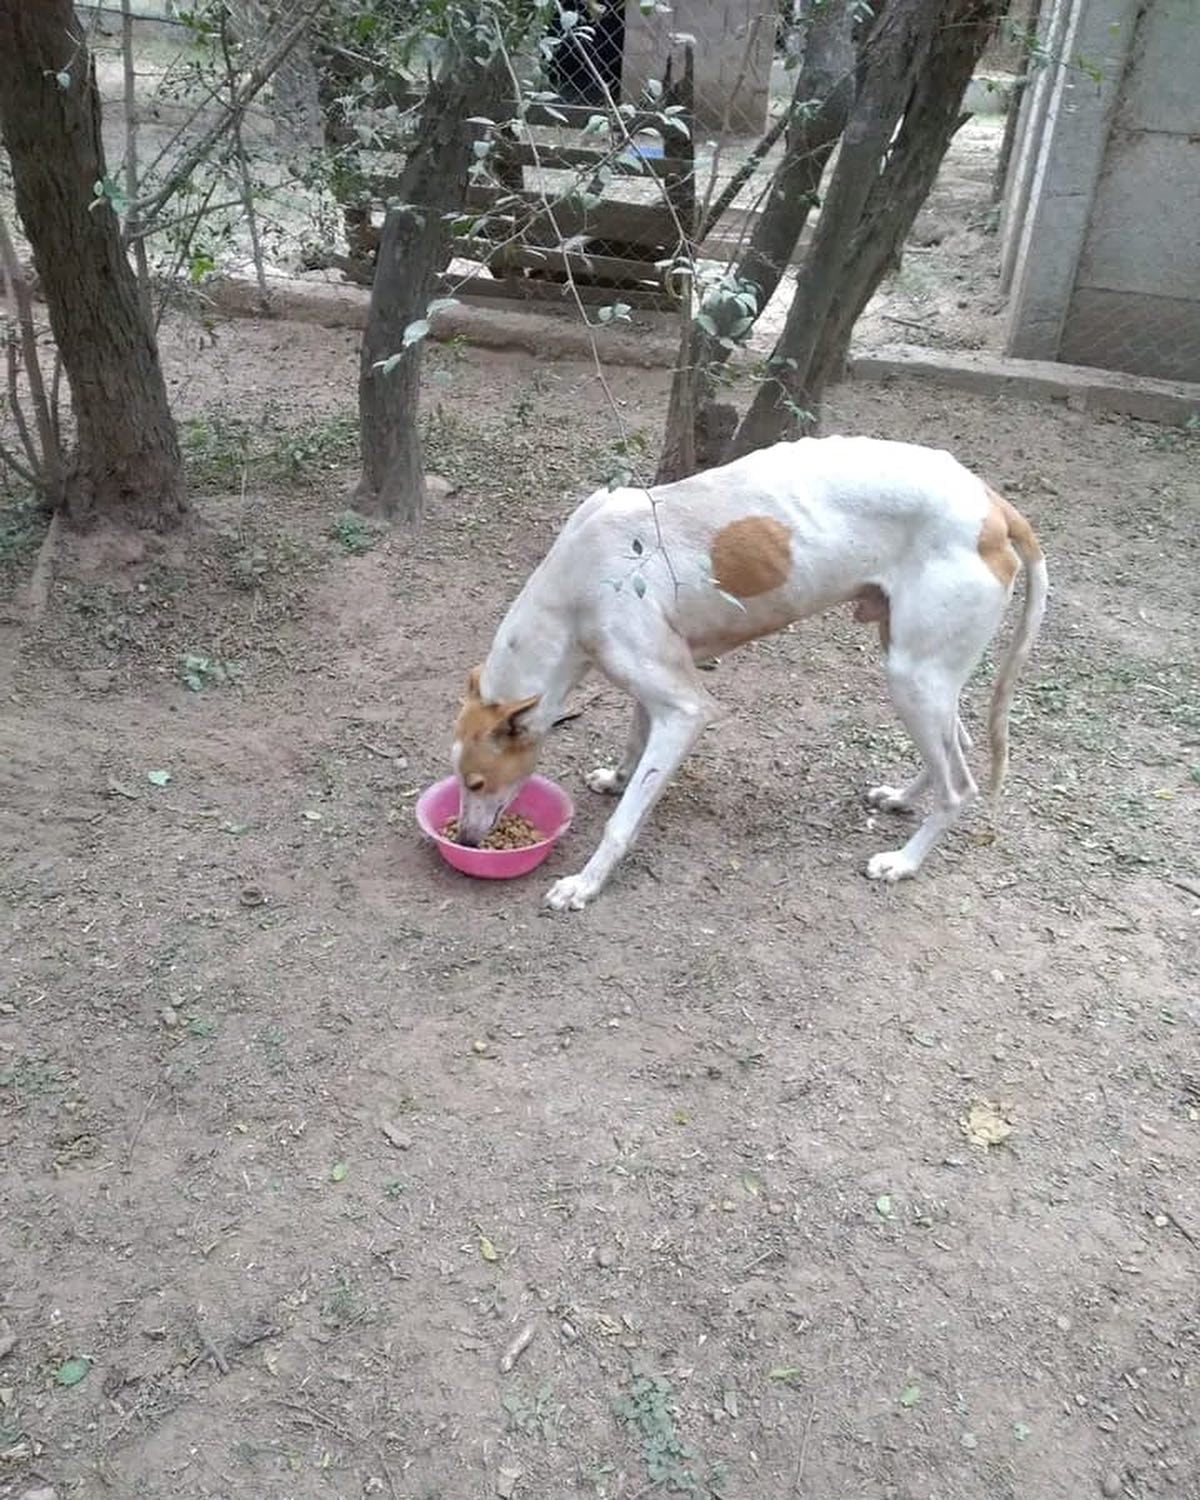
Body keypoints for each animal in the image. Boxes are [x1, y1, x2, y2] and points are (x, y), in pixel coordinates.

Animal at [450, 435, 1050, 912]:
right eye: (457, 779)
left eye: (476, 781)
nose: (469, 840)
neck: (573, 582)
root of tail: (992, 504)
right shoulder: (651, 684)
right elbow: (634, 743)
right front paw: (617, 778)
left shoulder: (685, 710)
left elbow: (623, 821)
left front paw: (584, 884)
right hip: (918, 670)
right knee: (959, 743)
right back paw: (900, 798)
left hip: (913, 679)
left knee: (960, 788)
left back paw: (902, 862)